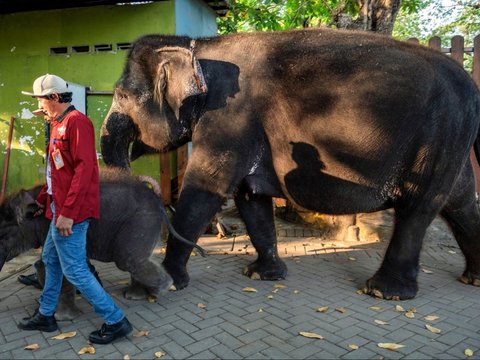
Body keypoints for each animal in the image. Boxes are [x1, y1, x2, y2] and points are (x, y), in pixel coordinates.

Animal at [100, 27, 480, 300]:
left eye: (122, 95)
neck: (197, 47)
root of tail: (473, 88)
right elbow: (250, 196)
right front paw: (261, 275)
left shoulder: (230, 117)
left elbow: (206, 188)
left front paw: (155, 288)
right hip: (451, 141)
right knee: (460, 203)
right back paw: (472, 279)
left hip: (437, 137)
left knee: (418, 208)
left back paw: (384, 293)